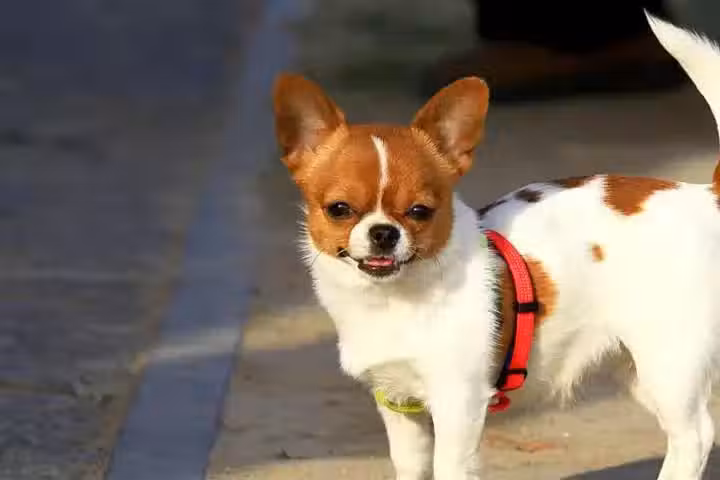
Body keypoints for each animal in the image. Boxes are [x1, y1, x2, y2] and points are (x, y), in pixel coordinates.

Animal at [272, 13, 720, 480]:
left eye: (420, 211)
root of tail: (706, 194)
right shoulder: (399, 404)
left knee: (695, 436)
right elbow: (411, 466)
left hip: (669, 363)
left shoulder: (459, 402)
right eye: (339, 209)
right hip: (639, 369)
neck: (395, 300)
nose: (383, 233)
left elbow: (450, 467)